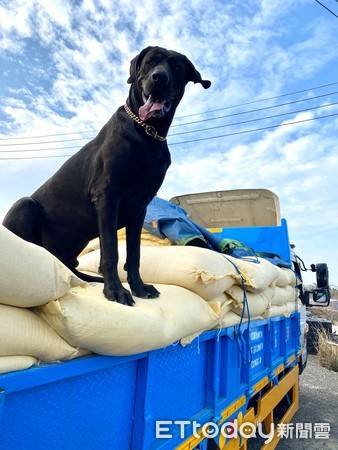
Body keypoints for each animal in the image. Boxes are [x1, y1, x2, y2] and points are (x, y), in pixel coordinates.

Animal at [2, 46, 210, 306]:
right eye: (150, 62)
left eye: (176, 67)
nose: (159, 78)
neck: (148, 133)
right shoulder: (107, 196)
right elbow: (111, 250)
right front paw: (115, 291)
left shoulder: (139, 207)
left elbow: (134, 253)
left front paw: (138, 287)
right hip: (24, 205)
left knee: (72, 268)